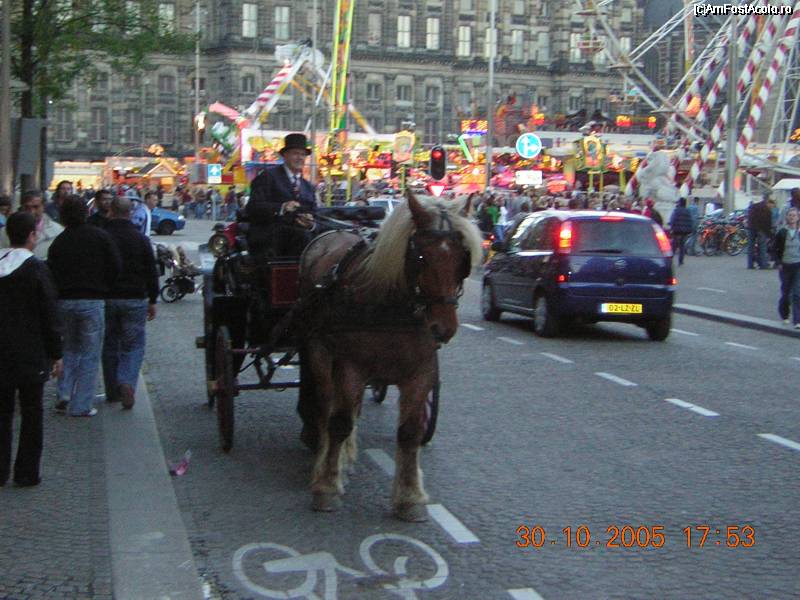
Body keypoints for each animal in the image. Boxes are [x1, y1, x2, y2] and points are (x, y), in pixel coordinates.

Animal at [295, 190, 483, 521]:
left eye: (463, 258)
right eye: (420, 257)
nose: (443, 328)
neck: (392, 306)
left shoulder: (421, 372)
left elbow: (409, 432)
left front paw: (410, 497)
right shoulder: (350, 365)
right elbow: (339, 422)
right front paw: (327, 486)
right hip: (320, 352)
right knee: (327, 407)